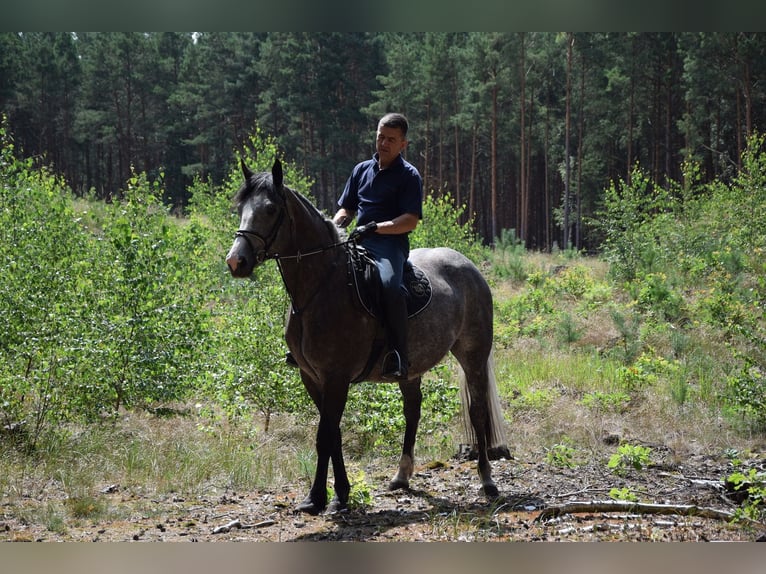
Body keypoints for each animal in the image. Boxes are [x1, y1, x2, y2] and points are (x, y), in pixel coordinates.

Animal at [225, 158, 508, 515]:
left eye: (270, 209)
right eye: (241, 208)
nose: (236, 261)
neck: (320, 288)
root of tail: (469, 267)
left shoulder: (336, 376)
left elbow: (325, 435)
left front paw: (326, 497)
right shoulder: (311, 376)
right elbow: (331, 433)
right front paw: (331, 495)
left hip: (473, 356)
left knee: (478, 412)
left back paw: (487, 480)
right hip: (410, 368)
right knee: (413, 410)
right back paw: (401, 476)